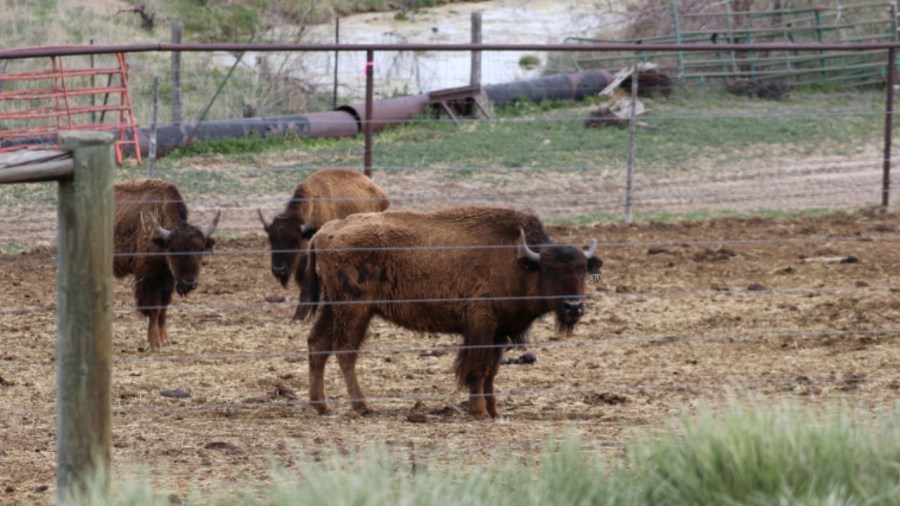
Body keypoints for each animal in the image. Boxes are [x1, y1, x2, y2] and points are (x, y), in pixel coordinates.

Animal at [113, 179, 220, 350]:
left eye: (201, 249)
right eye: (173, 249)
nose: (188, 284)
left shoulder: (167, 281)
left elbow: (163, 309)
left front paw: (165, 340)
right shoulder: (149, 278)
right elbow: (154, 309)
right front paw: (155, 342)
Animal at [257, 168, 389, 319]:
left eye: (295, 240)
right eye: (270, 239)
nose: (279, 270)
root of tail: (379, 191)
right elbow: (304, 279)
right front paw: (299, 315)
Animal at [297, 207, 602, 420]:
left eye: (582, 270)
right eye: (548, 269)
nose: (573, 307)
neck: (520, 261)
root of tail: (323, 232)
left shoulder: (498, 332)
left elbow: (491, 371)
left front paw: (494, 410)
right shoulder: (481, 326)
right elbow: (477, 368)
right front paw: (479, 411)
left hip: (332, 307)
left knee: (318, 344)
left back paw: (321, 405)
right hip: (355, 309)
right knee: (345, 350)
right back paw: (363, 406)